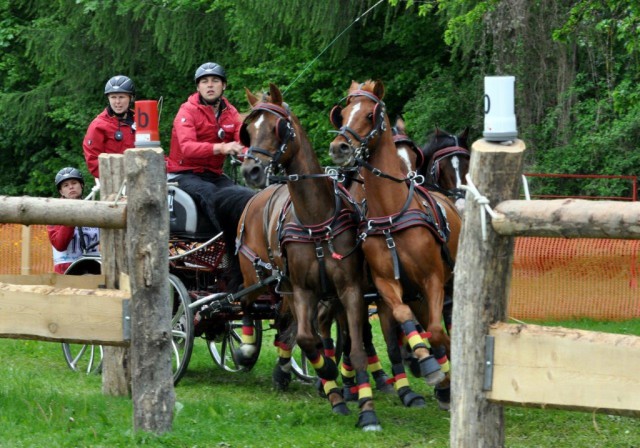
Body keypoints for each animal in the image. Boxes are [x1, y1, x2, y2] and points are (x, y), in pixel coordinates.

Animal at [238, 83, 382, 430]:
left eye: (278, 128)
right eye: (249, 129)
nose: (250, 170)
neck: (317, 217)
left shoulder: (350, 290)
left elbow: (355, 348)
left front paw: (365, 408)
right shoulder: (302, 289)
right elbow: (306, 337)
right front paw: (327, 374)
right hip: (260, 276)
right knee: (247, 304)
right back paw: (248, 349)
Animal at [328, 79, 462, 410]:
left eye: (369, 115)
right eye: (344, 113)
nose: (339, 147)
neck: (390, 213)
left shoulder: (432, 279)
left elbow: (437, 331)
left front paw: (436, 368)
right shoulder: (385, 283)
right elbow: (403, 318)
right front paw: (426, 363)